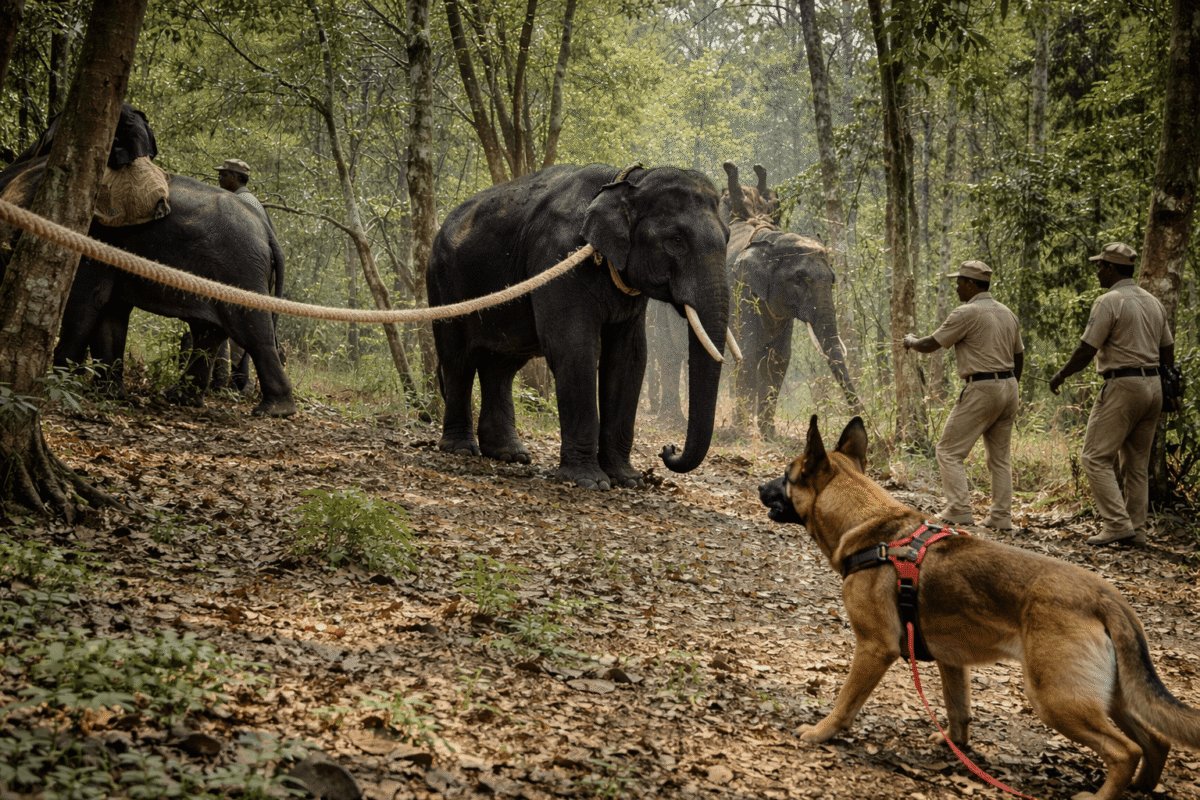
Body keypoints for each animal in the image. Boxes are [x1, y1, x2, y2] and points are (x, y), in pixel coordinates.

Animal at [0, 105, 296, 417]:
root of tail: (267, 231)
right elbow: (110, 312)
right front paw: (109, 394)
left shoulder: (92, 238)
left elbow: (83, 302)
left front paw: (57, 387)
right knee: (209, 332)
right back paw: (180, 397)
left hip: (242, 269)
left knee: (252, 333)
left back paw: (273, 410)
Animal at [428, 163, 731, 490]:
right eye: (676, 241)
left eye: (728, 237)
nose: (667, 449)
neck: (623, 181)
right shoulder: (558, 255)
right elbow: (574, 348)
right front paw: (589, 482)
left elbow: (629, 358)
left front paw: (627, 480)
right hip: (444, 282)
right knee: (458, 359)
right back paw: (461, 449)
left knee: (502, 365)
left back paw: (510, 454)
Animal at [721, 161, 856, 437]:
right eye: (800, 279)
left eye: (833, 279)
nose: (860, 416)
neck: (773, 242)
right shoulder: (743, 291)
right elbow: (748, 352)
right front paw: (742, 433)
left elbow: (780, 358)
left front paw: (768, 434)